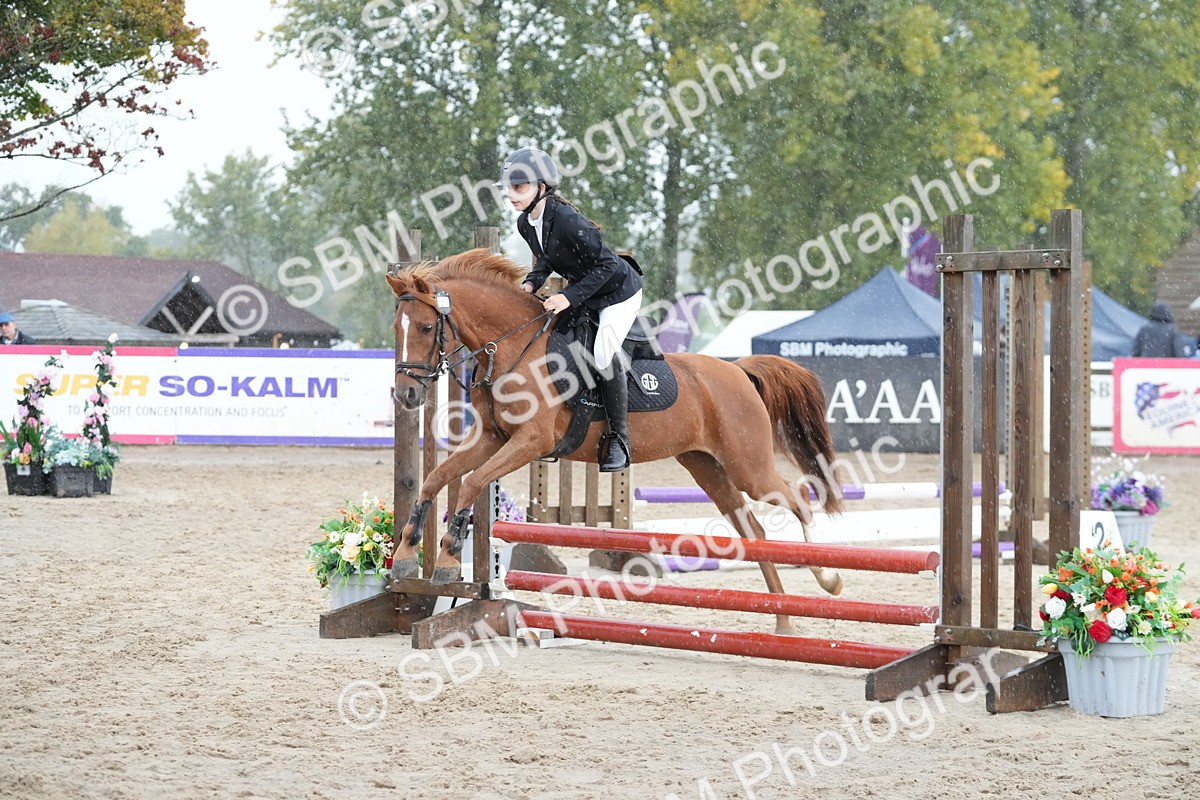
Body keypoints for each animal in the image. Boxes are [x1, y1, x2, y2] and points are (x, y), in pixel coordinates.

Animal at [386, 248, 844, 634]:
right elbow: (436, 480)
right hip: (707, 467)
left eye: (426, 327)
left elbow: (470, 483)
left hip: (748, 466)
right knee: (755, 530)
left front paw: (447, 560)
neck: (516, 346)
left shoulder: (530, 441)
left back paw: (829, 579)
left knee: (799, 498)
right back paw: (783, 622)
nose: (406, 395)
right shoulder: (491, 438)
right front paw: (407, 557)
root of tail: (739, 370)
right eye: (397, 328)